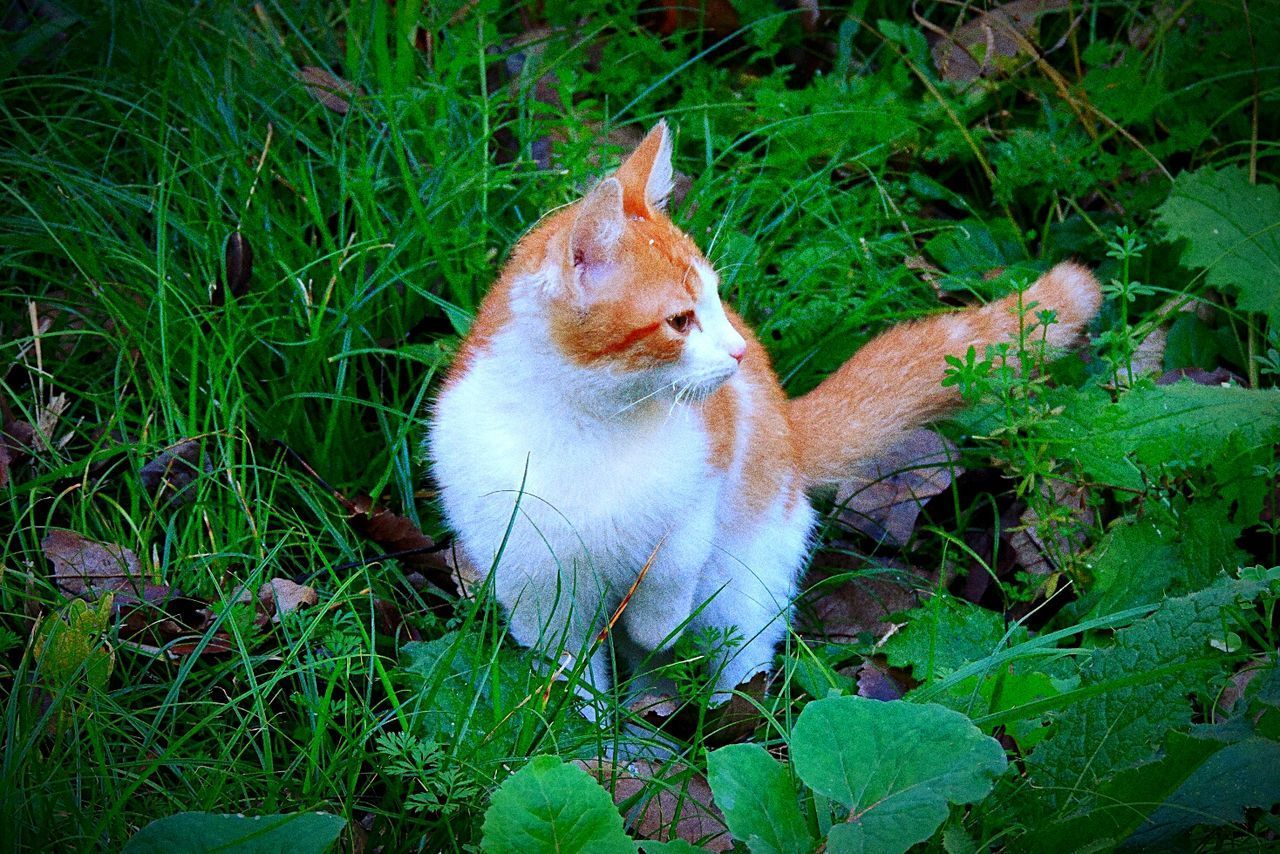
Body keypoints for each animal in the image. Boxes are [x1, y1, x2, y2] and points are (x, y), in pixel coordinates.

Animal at [430, 120, 1100, 706]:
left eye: (717, 299)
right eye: (680, 320)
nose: (739, 351)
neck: (586, 421)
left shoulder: (702, 485)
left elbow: (670, 572)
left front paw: (658, 628)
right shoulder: (529, 571)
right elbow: (568, 660)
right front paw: (588, 727)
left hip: (752, 573)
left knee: (741, 647)